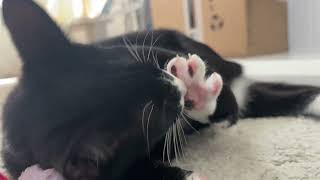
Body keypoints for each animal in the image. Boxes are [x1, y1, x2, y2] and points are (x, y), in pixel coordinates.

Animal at [2, 0, 320, 180]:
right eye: (158, 112)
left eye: (129, 60)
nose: (178, 87)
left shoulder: (145, 46)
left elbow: (166, 51)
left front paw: (196, 87)